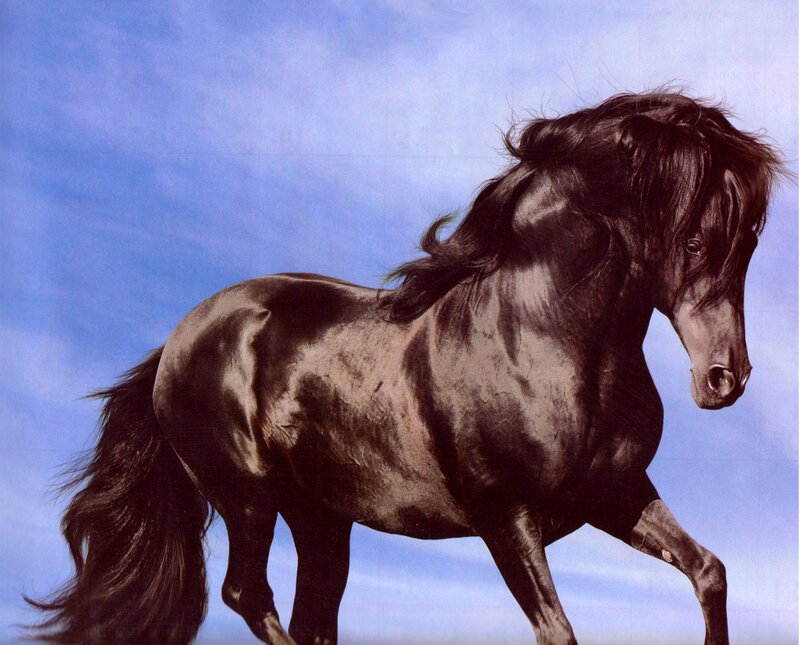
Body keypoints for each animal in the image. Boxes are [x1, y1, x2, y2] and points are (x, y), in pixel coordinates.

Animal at [28, 91, 782, 645]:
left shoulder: (614, 494)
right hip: (249, 498)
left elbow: (709, 571)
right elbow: (559, 631)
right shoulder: (505, 519)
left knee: (311, 615)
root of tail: (176, 343)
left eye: (749, 242)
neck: (542, 343)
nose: (725, 379)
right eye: (694, 240)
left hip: (321, 518)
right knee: (248, 593)